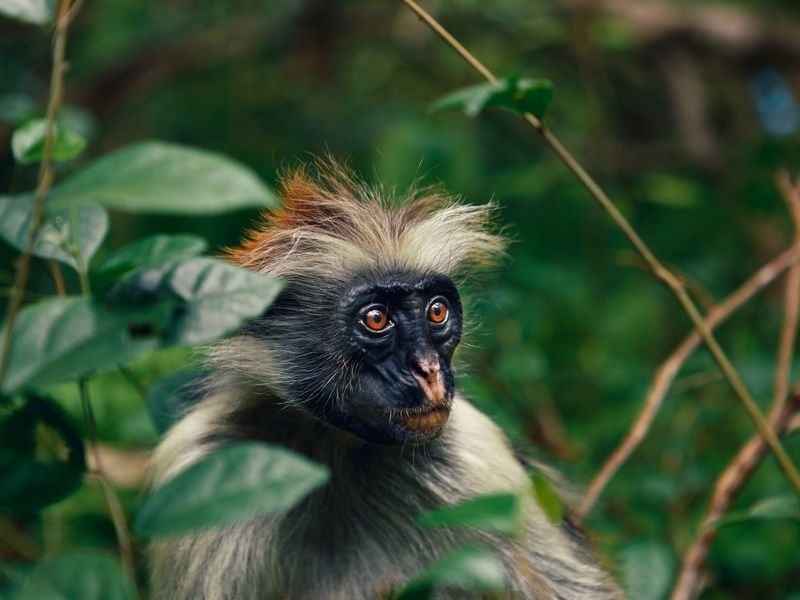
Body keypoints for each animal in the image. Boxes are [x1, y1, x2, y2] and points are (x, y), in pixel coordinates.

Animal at [147, 161, 620, 600]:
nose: (429, 370)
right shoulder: (200, 468)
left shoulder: (474, 454)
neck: (333, 449)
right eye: (376, 319)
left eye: (436, 311)